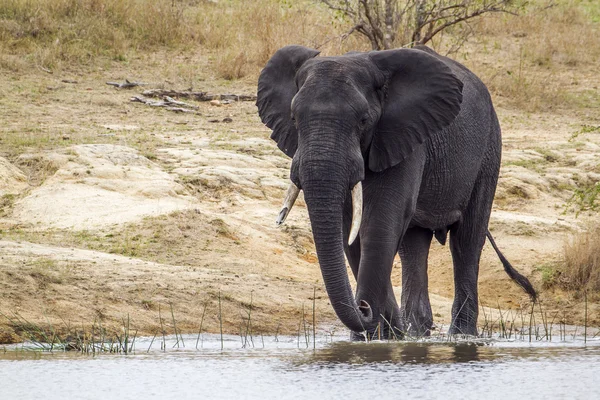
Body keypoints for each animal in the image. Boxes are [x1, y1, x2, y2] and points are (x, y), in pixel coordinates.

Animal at [255, 43, 536, 338]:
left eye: (364, 120)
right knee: (414, 244)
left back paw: (461, 335)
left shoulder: (405, 133)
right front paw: (380, 335)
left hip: (489, 149)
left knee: (467, 240)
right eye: (294, 118)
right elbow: (350, 231)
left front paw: (378, 332)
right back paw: (416, 332)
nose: (363, 307)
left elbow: (380, 223)